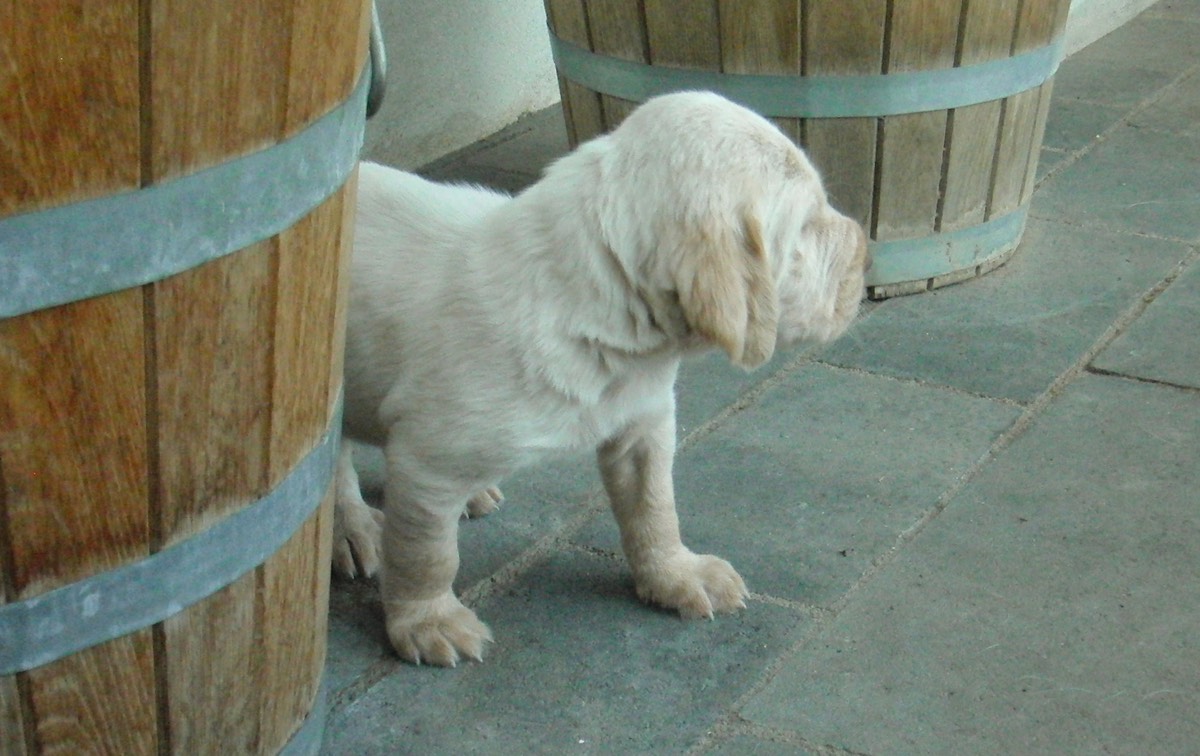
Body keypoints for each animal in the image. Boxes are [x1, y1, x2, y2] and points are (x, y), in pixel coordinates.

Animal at [333, 91, 870, 667]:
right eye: (807, 225)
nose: (867, 249)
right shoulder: (430, 462)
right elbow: (426, 554)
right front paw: (427, 621)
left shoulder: (644, 423)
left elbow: (654, 508)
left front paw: (676, 575)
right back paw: (352, 530)